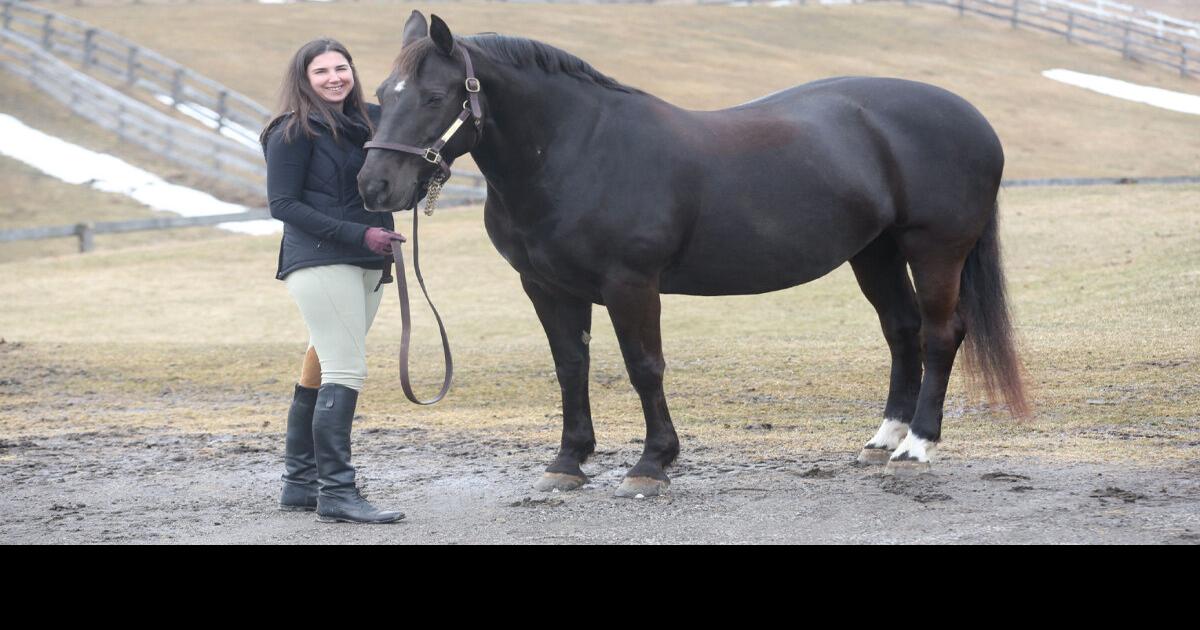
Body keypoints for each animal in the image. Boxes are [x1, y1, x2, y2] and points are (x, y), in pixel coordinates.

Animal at [359, 12, 1028, 498]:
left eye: (435, 96)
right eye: (381, 95)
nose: (375, 187)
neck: (579, 149)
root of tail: (974, 118)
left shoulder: (631, 284)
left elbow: (644, 367)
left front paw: (652, 464)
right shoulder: (547, 287)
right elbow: (570, 366)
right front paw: (568, 461)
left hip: (935, 249)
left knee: (942, 334)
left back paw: (917, 446)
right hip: (876, 253)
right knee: (902, 331)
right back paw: (884, 439)